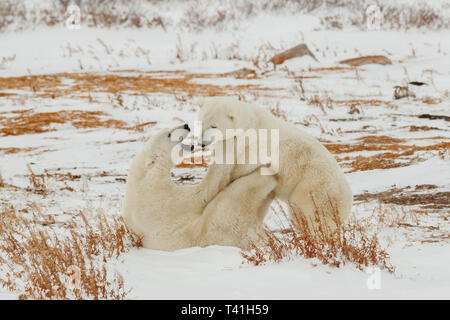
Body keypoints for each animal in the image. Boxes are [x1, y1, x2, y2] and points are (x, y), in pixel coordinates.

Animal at [124, 125, 278, 250]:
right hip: (213, 228)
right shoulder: (161, 198)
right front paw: (226, 144)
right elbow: (201, 193)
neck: (145, 175)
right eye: (168, 134)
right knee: (237, 195)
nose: (186, 125)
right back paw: (267, 174)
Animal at [199, 97, 354, 235]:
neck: (251, 124)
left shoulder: (259, 143)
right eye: (201, 123)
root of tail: (347, 199)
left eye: (214, 125)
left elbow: (246, 163)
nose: (202, 143)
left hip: (314, 187)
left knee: (315, 217)